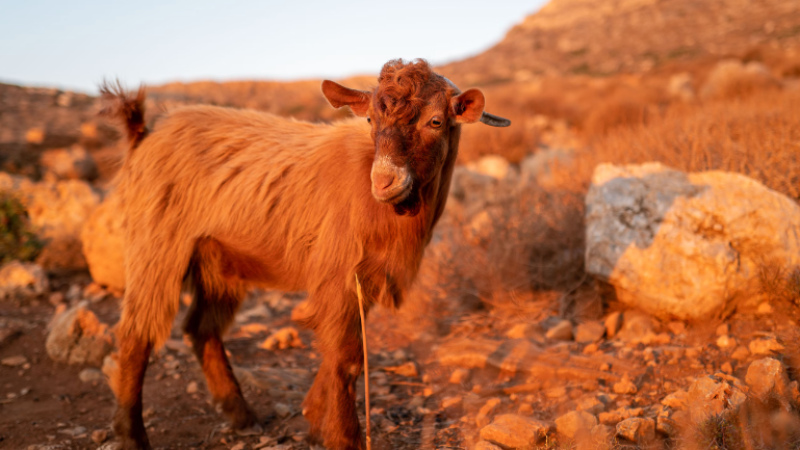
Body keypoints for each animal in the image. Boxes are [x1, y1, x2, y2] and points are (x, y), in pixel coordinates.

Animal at [100, 59, 510, 450]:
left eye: (436, 121)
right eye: (370, 119)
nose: (384, 181)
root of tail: (146, 133)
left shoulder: (363, 279)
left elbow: (340, 351)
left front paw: (314, 417)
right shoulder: (339, 273)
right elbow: (346, 356)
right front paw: (344, 437)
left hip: (217, 261)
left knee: (202, 329)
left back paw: (241, 415)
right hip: (157, 244)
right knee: (136, 333)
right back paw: (132, 435)